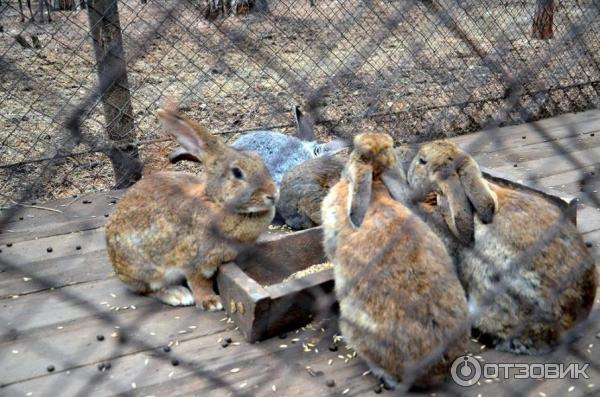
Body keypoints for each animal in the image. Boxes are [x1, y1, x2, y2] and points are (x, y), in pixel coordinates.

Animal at [104, 105, 278, 310]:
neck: (217, 202)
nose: (273, 194)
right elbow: (200, 282)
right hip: (147, 268)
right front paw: (211, 302)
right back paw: (177, 295)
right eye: (237, 173)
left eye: (259, 160)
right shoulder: (194, 261)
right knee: (146, 289)